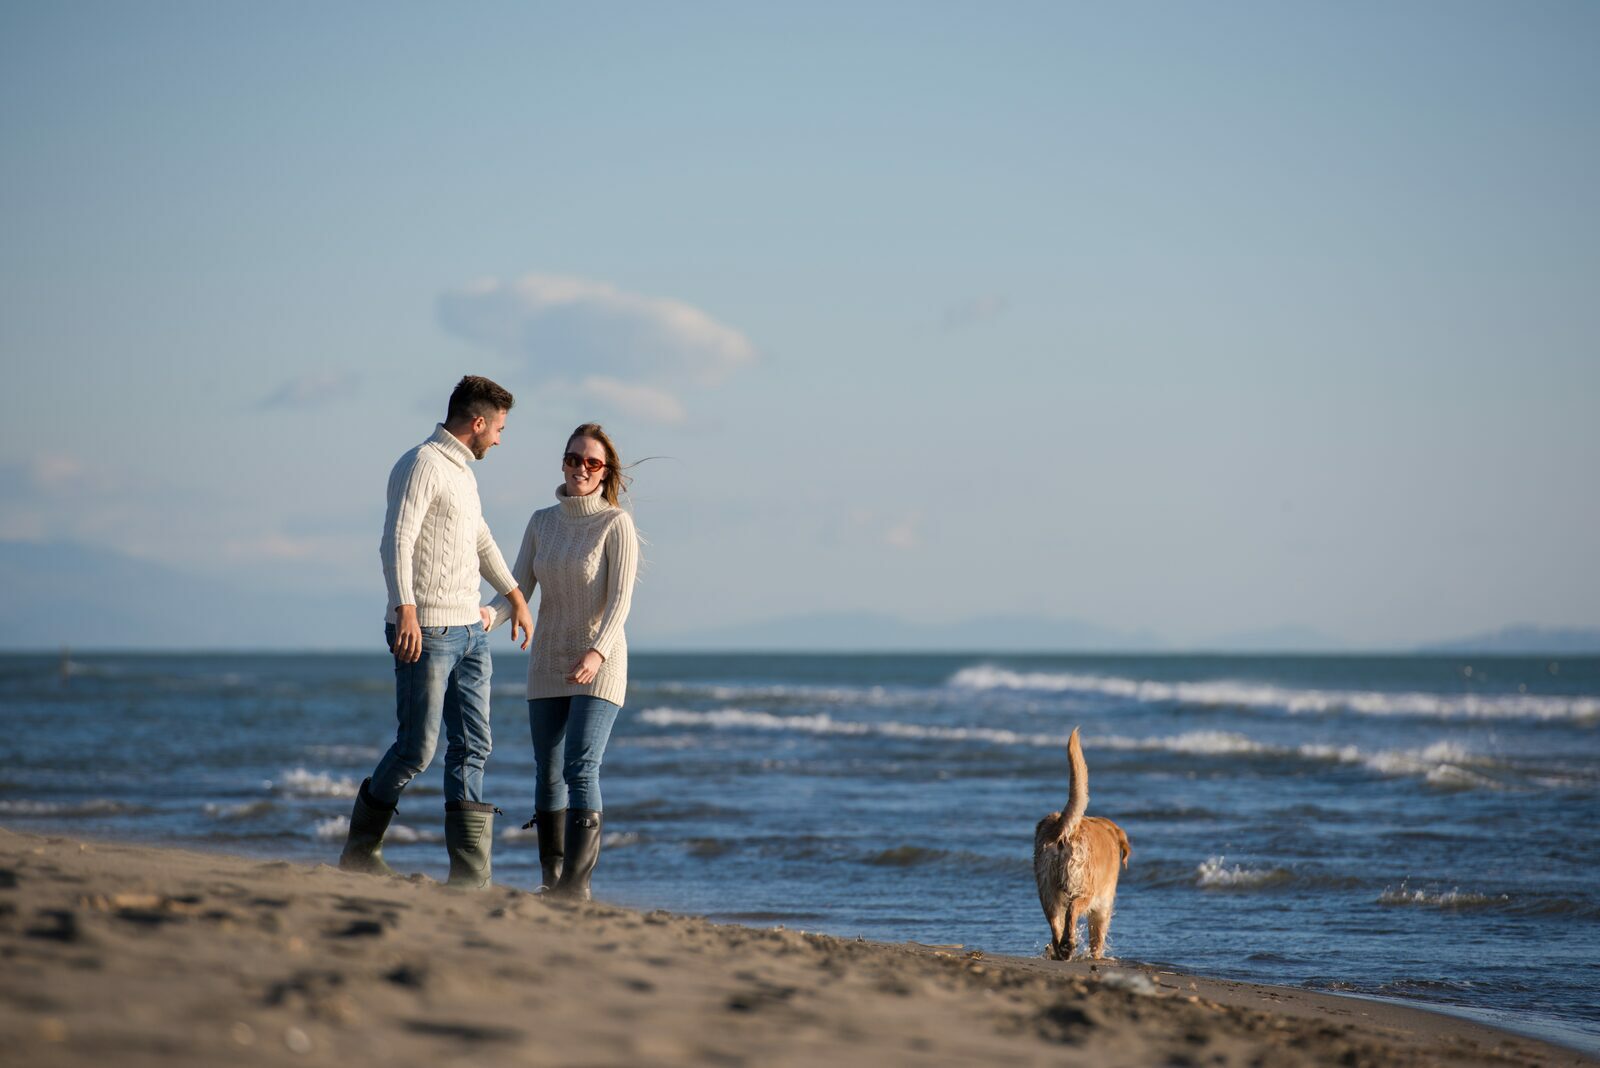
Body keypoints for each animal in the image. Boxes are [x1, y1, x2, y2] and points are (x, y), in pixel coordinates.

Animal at [1030, 725, 1132, 959]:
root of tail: (1063, 829)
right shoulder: (1103, 907)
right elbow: (1097, 939)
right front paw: (1096, 957)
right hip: (1084, 889)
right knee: (1072, 910)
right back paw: (1068, 944)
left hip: (1046, 890)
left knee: (1055, 922)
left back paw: (1062, 949)